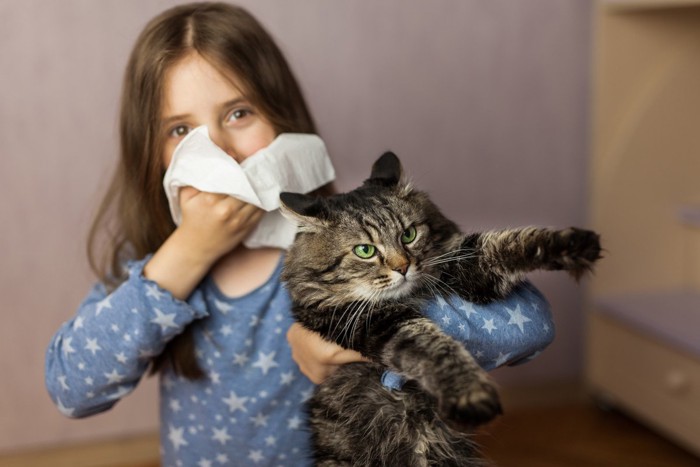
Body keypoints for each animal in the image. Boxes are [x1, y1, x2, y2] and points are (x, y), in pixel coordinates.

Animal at [278, 152, 600, 466]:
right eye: (365, 251)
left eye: (408, 235)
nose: (403, 268)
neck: (410, 295)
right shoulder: (380, 324)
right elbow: (437, 350)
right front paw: (469, 394)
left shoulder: (464, 269)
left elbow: (505, 242)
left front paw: (572, 245)